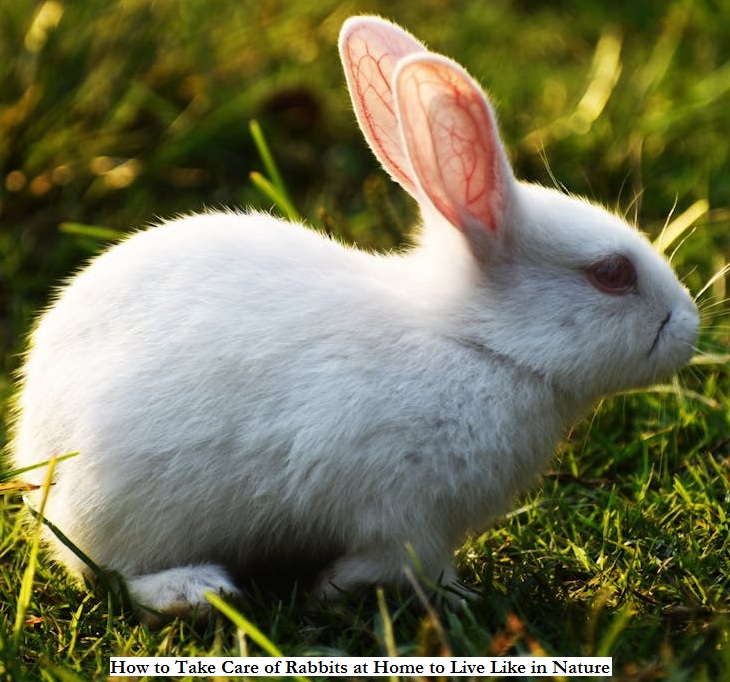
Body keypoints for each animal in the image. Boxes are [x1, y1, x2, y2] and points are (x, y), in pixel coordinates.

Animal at [10, 15, 699, 620]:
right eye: (611, 273)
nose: (690, 326)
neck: (476, 344)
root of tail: (34, 444)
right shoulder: (408, 515)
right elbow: (405, 564)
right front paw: (423, 596)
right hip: (124, 504)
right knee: (110, 571)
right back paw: (195, 591)